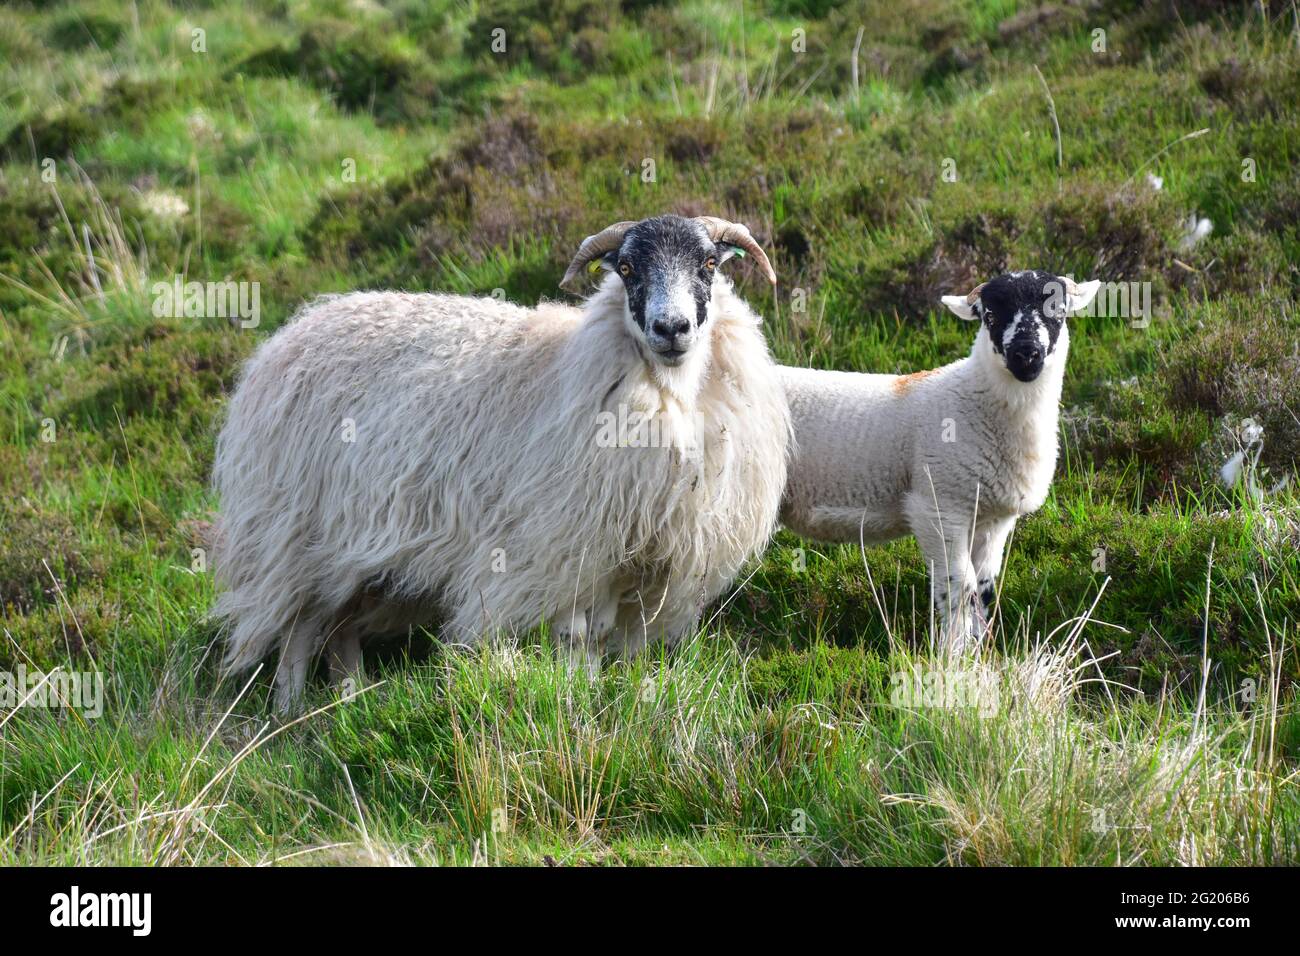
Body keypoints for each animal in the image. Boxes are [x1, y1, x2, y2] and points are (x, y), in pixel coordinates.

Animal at [210, 217, 790, 712]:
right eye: (627, 268)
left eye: (709, 263)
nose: (671, 328)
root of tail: (292, 332)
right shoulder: (563, 552)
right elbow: (576, 639)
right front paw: (575, 700)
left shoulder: (627, 565)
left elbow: (603, 640)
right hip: (295, 536)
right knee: (300, 628)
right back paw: (288, 713)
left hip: (360, 556)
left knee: (339, 629)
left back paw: (349, 703)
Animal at [774, 273, 1102, 655]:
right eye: (990, 314)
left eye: (1058, 311)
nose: (1026, 354)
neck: (978, 400)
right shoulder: (938, 508)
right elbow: (959, 585)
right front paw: (952, 653)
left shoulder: (993, 520)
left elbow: (984, 589)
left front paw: (980, 651)